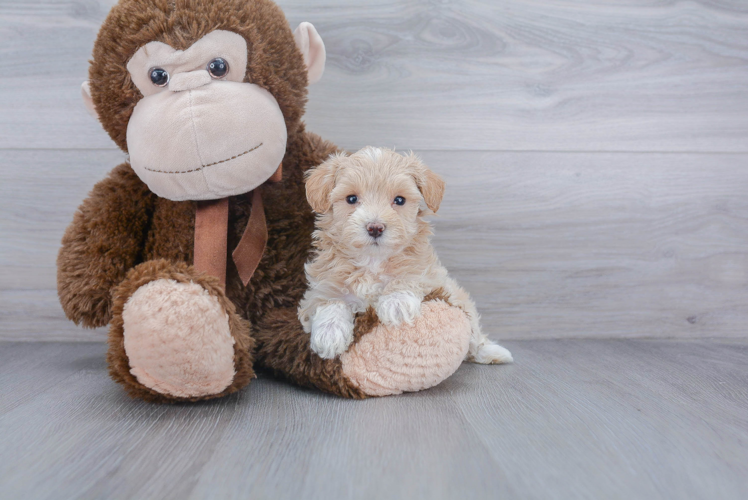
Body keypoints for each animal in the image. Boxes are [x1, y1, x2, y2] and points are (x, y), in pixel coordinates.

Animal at [300, 146, 516, 366]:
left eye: (399, 200)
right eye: (351, 199)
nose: (375, 227)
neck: (372, 261)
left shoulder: (432, 276)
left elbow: (410, 274)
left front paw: (396, 302)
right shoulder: (320, 288)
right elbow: (329, 301)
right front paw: (329, 333)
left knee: (473, 330)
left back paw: (492, 352)